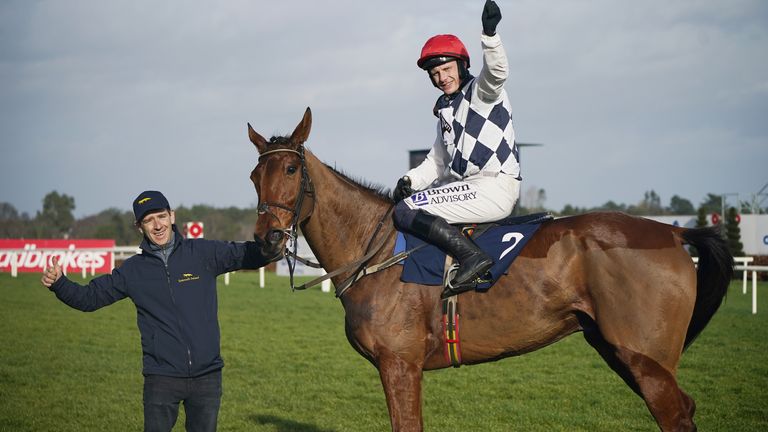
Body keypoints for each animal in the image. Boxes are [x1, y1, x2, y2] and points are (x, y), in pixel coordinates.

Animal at [246, 107, 732, 428]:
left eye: (291, 169)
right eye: (254, 176)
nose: (267, 238)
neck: (375, 250)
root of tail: (673, 232)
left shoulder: (400, 365)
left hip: (646, 361)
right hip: (620, 352)